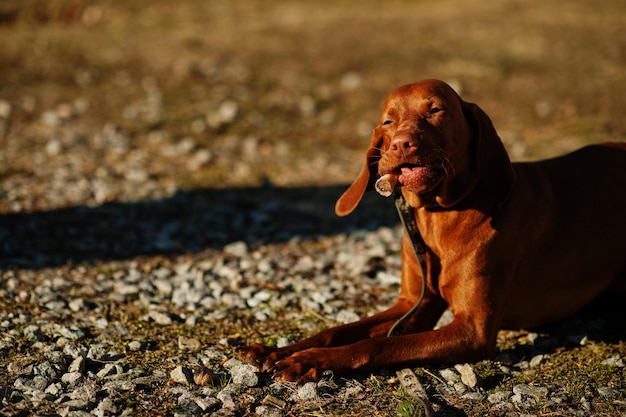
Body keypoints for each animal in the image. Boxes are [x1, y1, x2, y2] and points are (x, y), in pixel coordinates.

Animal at [241, 78, 624, 380]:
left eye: (436, 110)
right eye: (388, 120)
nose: (401, 143)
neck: (439, 215)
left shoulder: (472, 330)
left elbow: (376, 344)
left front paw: (312, 361)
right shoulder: (415, 303)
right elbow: (339, 330)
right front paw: (282, 350)